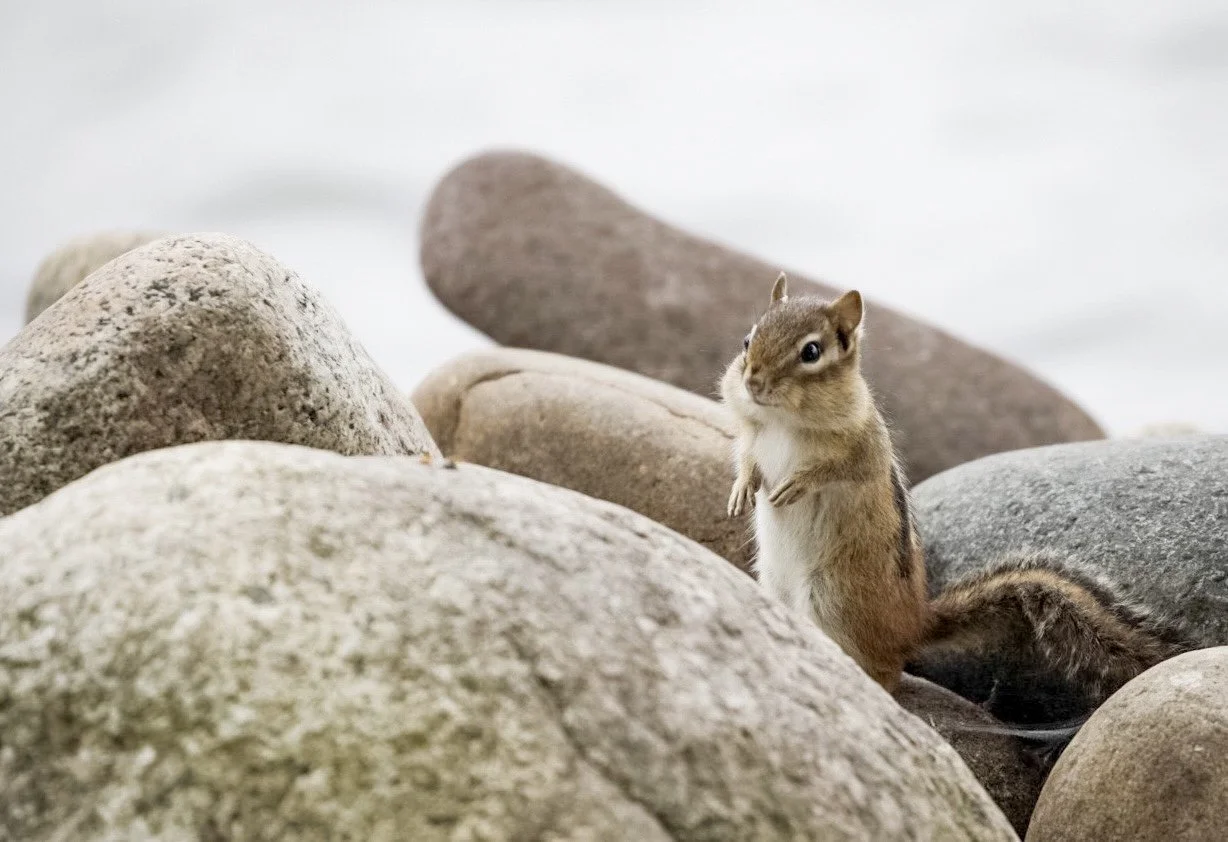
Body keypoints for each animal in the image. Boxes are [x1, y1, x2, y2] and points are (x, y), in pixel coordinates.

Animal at [720, 273, 1193, 725]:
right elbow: (746, 456)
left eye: (811, 352)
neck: (782, 420)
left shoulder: (862, 448)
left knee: (884, 675)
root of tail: (914, 623)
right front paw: (742, 489)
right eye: (747, 339)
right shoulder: (752, 432)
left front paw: (797, 483)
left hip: (831, 596)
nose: (753, 381)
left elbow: (834, 469)